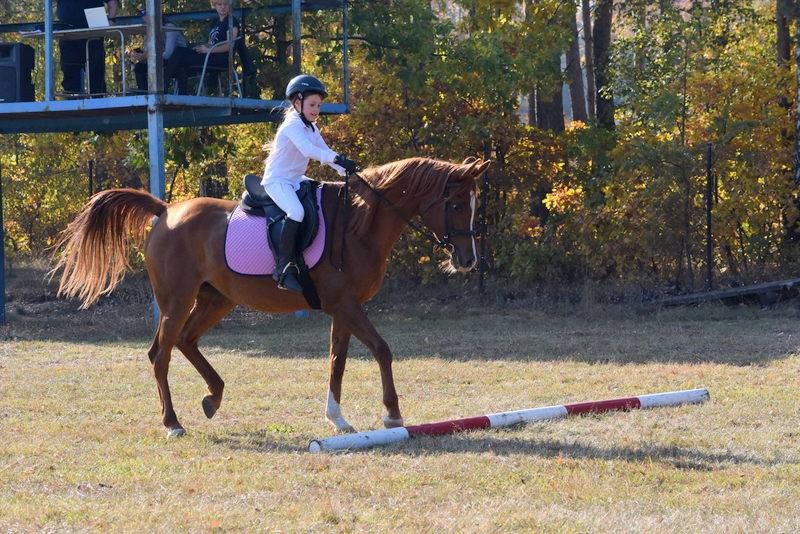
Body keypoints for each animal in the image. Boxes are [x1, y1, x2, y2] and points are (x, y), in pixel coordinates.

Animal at [53, 157, 491, 437]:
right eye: (455, 203)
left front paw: (337, 419)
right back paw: (172, 423)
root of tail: (165, 211)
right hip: (176, 301)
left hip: (216, 299)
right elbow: (382, 350)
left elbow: (337, 360)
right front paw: (393, 415)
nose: (468, 261)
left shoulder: (343, 308)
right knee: (161, 353)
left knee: (186, 341)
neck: (359, 224)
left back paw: (213, 398)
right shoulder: (346, 305)